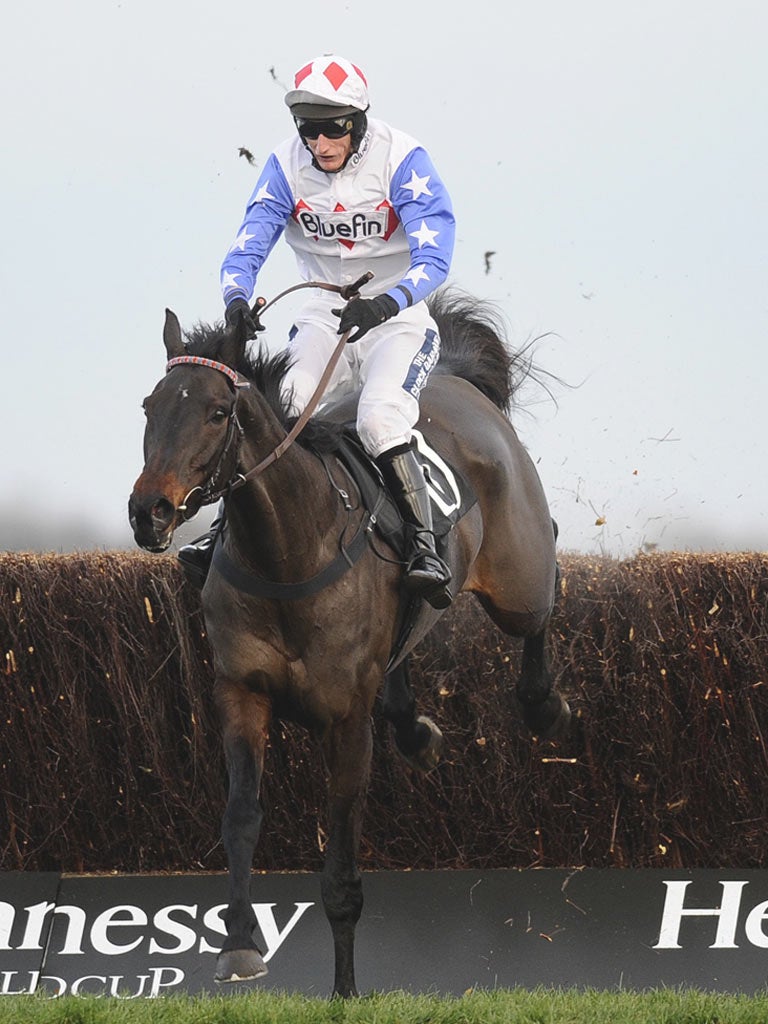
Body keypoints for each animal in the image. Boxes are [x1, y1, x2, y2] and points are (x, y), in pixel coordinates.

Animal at [128, 290, 573, 999]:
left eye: (218, 413)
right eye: (150, 406)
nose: (150, 512)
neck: (286, 551)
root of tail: (454, 377)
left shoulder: (345, 724)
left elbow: (340, 869)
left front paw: (344, 990)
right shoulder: (240, 693)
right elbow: (240, 816)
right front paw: (239, 948)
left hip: (519, 579)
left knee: (539, 595)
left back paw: (544, 706)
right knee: (400, 676)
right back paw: (417, 731)